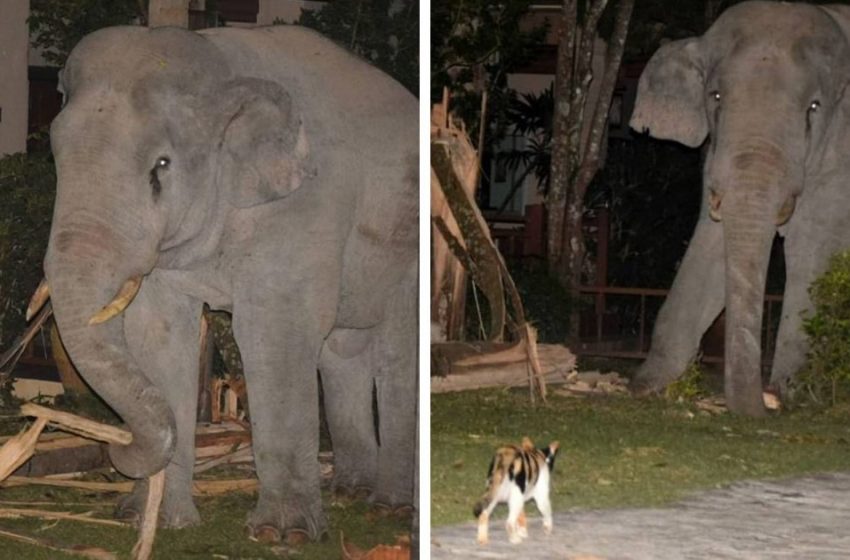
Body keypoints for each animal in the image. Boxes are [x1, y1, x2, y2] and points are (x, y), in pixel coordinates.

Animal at [41, 25, 420, 544]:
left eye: (162, 165)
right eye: (55, 155)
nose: (115, 444)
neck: (222, 63)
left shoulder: (302, 209)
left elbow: (272, 333)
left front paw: (282, 536)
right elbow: (158, 334)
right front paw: (151, 519)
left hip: (411, 247)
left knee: (397, 354)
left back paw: (390, 506)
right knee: (342, 350)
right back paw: (350, 490)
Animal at [628, 1, 850, 416]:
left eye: (814, 107)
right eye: (715, 97)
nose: (764, 403)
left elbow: (811, 253)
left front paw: (794, 394)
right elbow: (712, 245)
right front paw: (647, 385)